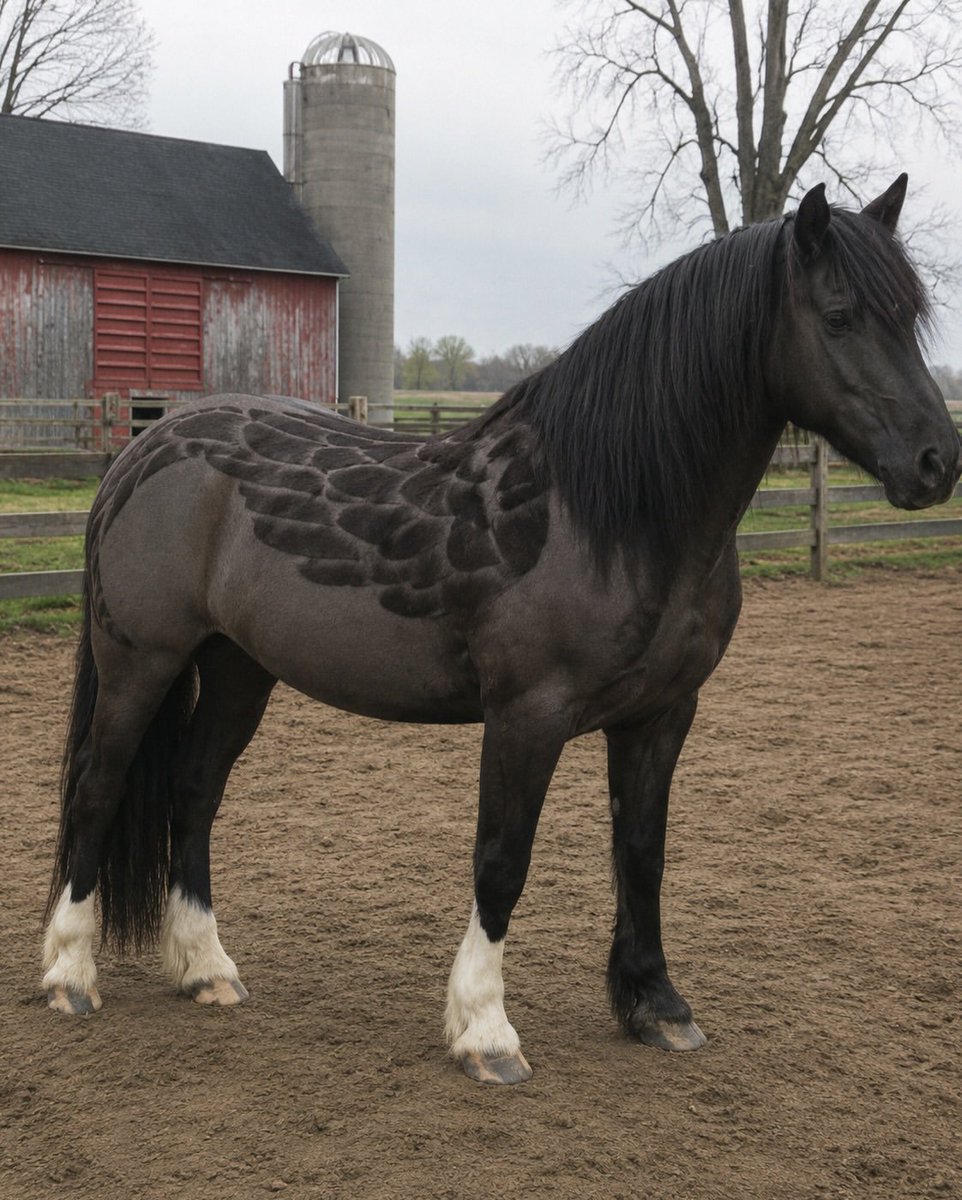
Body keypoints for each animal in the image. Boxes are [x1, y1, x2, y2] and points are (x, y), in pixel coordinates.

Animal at [42, 175, 960, 1084]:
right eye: (839, 316)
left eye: (911, 315)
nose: (936, 462)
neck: (603, 511)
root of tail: (146, 446)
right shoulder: (528, 714)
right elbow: (502, 859)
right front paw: (485, 1030)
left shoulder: (662, 715)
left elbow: (643, 853)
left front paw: (657, 1006)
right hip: (141, 663)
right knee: (96, 788)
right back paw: (70, 975)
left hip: (238, 667)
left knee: (194, 790)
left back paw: (206, 969)